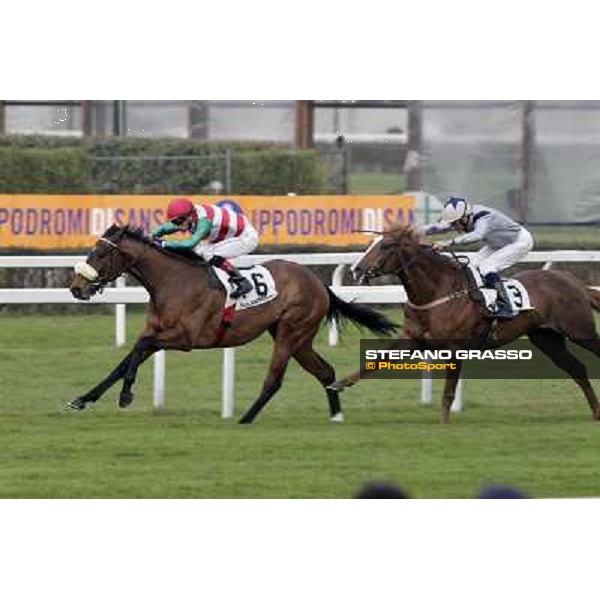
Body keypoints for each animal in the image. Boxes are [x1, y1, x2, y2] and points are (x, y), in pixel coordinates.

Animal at [68, 223, 396, 424]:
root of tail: (317, 281)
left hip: (291, 332)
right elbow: (126, 359)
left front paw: (125, 395)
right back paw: (336, 416)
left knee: (274, 380)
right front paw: (84, 399)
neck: (171, 282)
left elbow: (138, 349)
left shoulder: (185, 338)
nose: (75, 288)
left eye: (100, 253)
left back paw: (246, 419)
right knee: (324, 371)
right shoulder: (158, 331)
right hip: (297, 338)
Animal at [330, 223, 600, 424]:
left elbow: (449, 392)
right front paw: (339, 384)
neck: (436, 292)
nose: (356, 269)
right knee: (577, 369)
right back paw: (596, 413)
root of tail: (574, 282)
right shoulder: (411, 338)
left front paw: (443, 424)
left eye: (385, 246)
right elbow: (375, 362)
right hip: (546, 338)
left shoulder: (454, 349)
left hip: (580, 331)